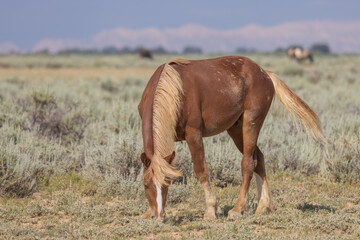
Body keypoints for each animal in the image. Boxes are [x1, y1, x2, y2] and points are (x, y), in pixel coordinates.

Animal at [137, 55, 324, 221]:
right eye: (146, 185)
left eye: (166, 184)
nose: (159, 217)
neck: (173, 90)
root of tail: (264, 73)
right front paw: (147, 212)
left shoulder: (193, 134)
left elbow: (201, 170)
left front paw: (211, 210)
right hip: (235, 129)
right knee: (259, 158)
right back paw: (264, 206)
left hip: (251, 123)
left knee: (248, 163)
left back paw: (238, 209)